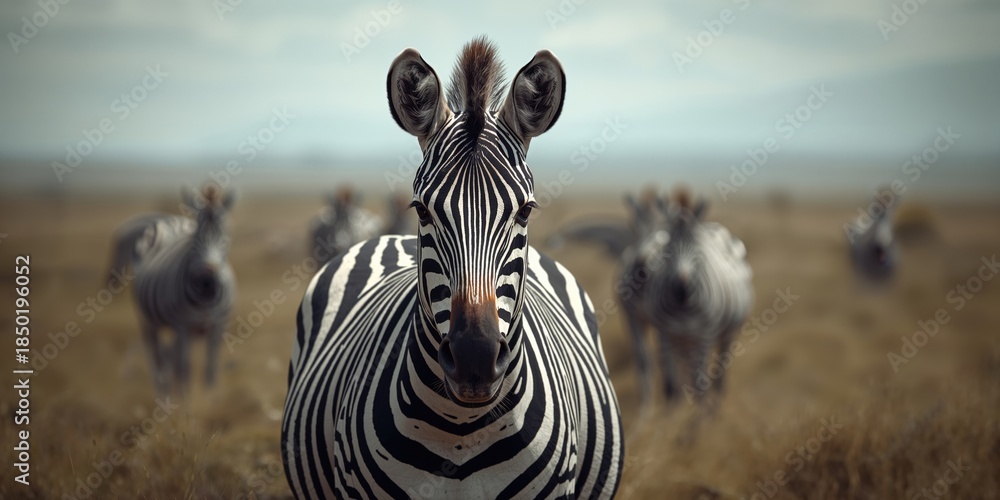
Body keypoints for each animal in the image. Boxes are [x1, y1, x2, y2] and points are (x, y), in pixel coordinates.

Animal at [108, 184, 237, 394]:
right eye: (195, 237)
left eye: (226, 235)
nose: (207, 279)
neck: (206, 299)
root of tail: (170, 221)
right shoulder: (183, 326)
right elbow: (184, 368)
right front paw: (184, 399)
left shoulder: (218, 325)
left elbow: (210, 369)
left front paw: (210, 396)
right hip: (148, 320)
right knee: (157, 355)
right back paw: (163, 391)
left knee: (170, 356)